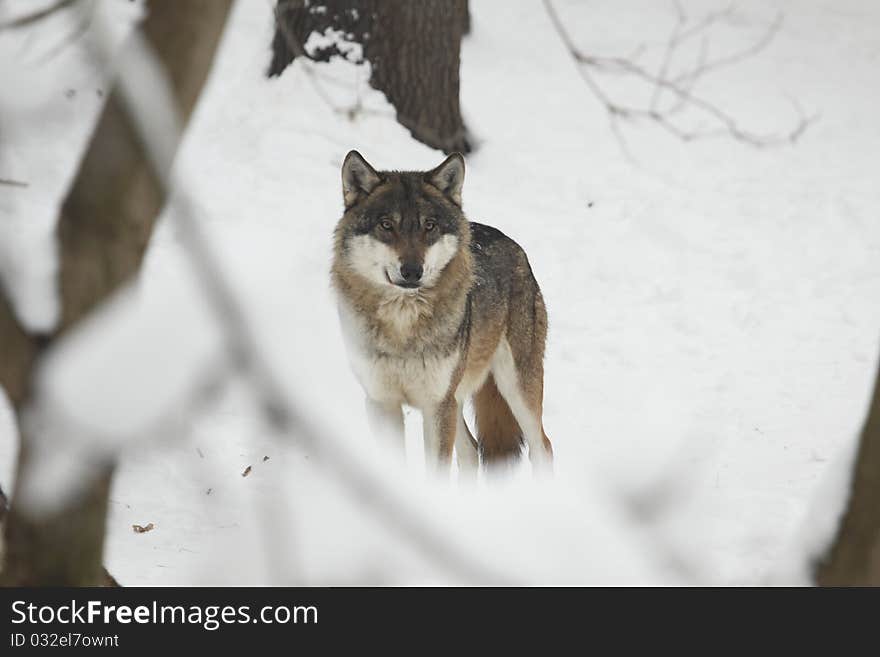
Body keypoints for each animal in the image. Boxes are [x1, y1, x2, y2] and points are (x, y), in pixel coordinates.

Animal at [330, 151, 552, 474]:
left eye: (430, 226)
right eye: (386, 225)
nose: (412, 271)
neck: (402, 327)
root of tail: (512, 243)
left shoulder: (436, 405)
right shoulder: (382, 402)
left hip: (515, 388)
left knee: (542, 447)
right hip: (457, 399)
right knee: (471, 451)